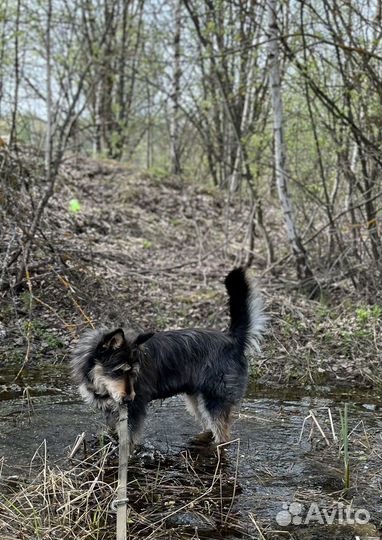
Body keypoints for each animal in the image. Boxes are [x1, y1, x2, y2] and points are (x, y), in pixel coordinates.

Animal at [71, 268, 266, 450]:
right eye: (119, 371)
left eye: (134, 373)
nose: (128, 399)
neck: (97, 378)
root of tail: (233, 340)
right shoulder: (113, 411)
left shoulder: (134, 411)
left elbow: (129, 439)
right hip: (197, 399)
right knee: (208, 427)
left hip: (215, 400)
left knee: (222, 435)